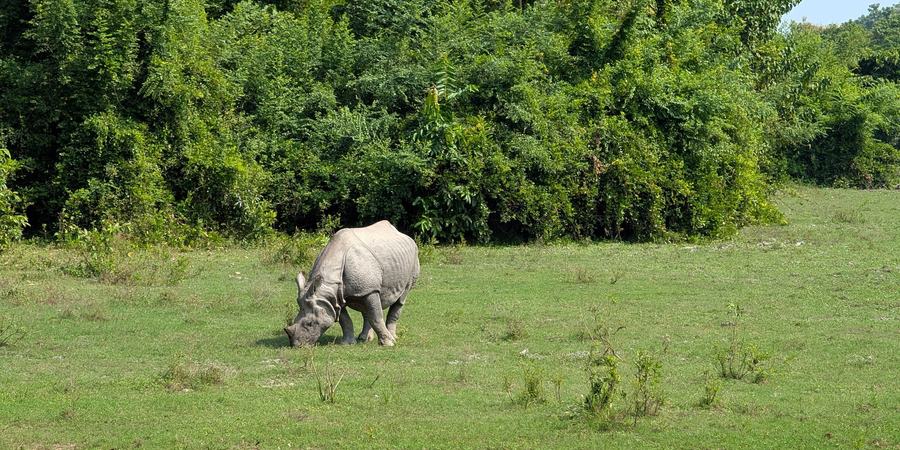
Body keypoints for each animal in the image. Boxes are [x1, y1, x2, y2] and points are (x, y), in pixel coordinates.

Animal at [284, 221, 420, 347]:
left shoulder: (367, 289)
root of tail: (403, 234)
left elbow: (376, 316)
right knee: (368, 306)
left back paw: (393, 337)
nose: (296, 345)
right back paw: (364, 339)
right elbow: (345, 320)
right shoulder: (333, 297)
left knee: (400, 298)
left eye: (310, 324)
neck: (326, 285)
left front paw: (388, 343)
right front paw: (347, 343)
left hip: (413, 257)